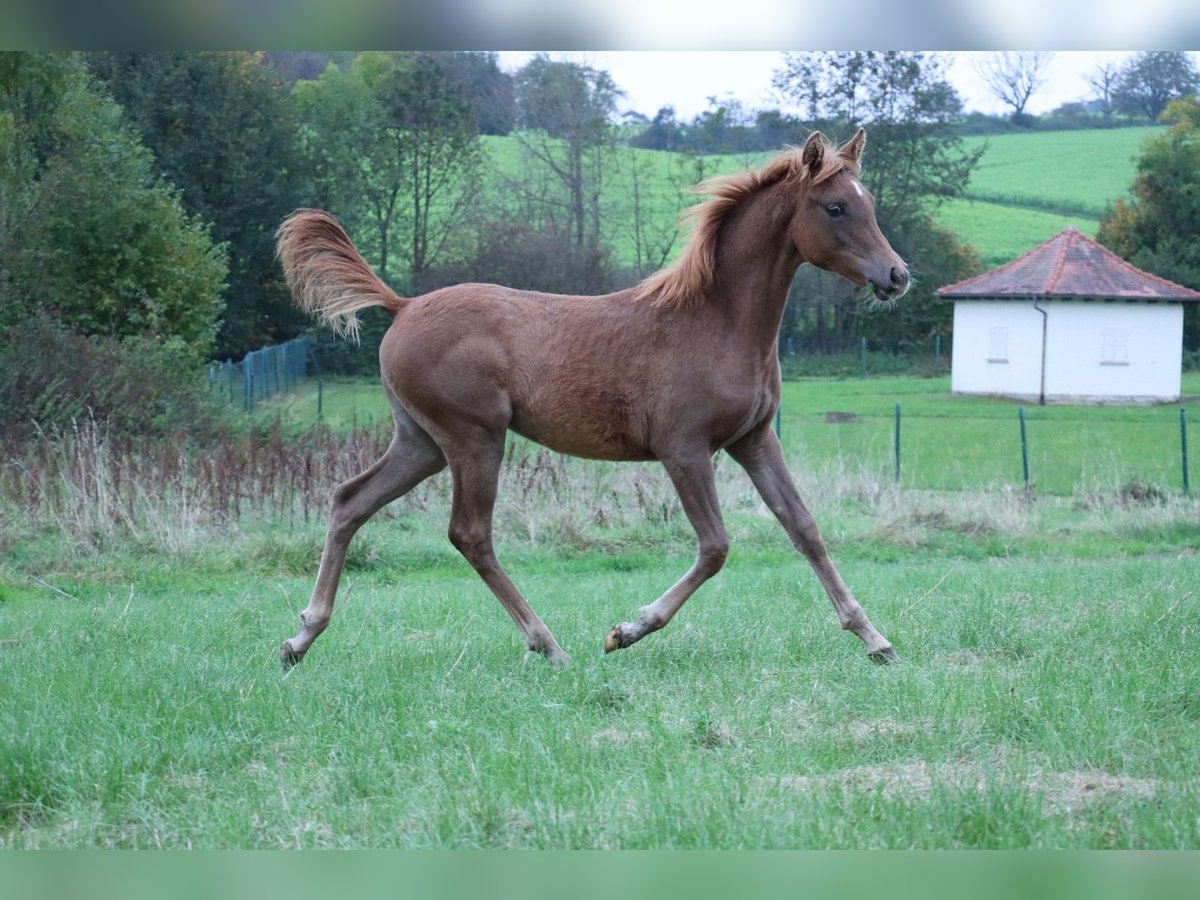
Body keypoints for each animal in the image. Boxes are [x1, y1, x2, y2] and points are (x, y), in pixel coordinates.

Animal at [274, 132, 907, 672]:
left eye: (869, 201)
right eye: (835, 207)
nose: (897, 275)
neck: (716, 321)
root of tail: (402, 306)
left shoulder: (753, 440)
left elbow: (804, 528)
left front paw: (875, 638)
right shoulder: (684, 449)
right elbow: (715, 547)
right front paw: (627, 630)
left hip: (421, 442)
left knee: (350, 501)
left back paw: (300, 637)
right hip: (473, 437)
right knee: (469, 534)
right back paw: (549, 645)